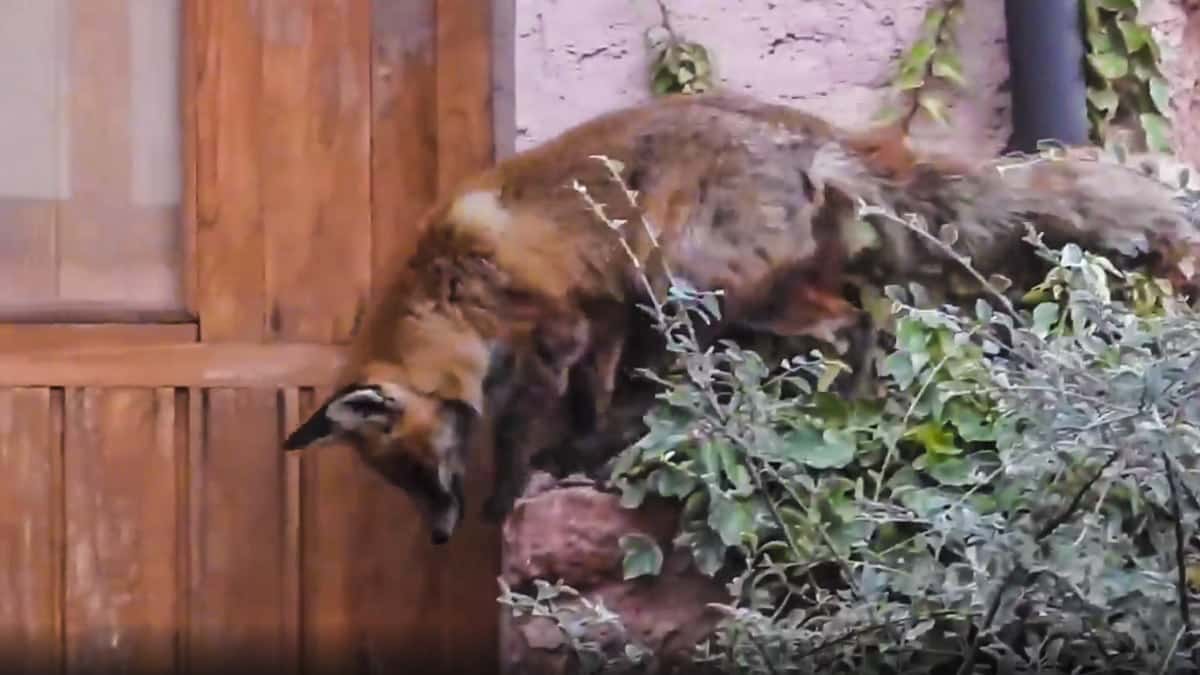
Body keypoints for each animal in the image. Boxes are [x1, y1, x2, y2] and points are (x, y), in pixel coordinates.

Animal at [283, 90, 1200, 540]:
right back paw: (846, 412)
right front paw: (586, 454)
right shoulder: (604, 314)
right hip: (712, 289)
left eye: (415, 471)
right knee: (860, 317)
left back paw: (837, 414)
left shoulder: (557, 328)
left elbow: (528, 428)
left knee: (848, 325)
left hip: (695, 280)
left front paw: (517, 491)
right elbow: (592, 398)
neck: (447, 286)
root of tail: (808, 134)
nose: (440, 536)